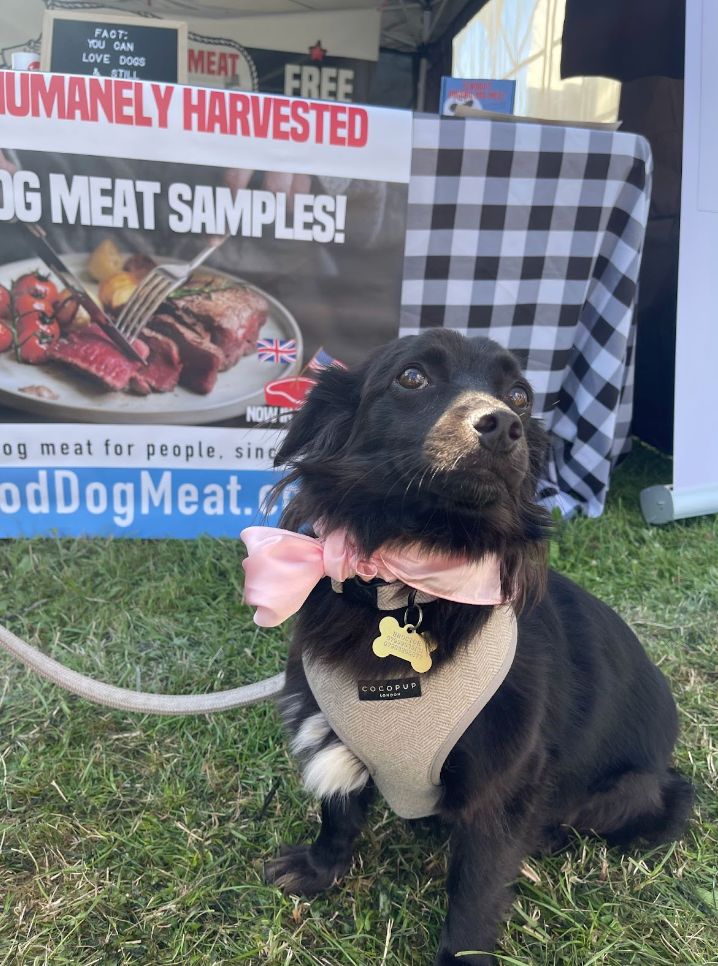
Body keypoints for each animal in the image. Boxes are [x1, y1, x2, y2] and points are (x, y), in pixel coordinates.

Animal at [258, 328, 692, 964]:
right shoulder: (332, 729)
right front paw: (320, 869)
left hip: (626, 793)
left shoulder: (503, 782)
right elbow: (338, 811)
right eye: (411, 377)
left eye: (520, 395)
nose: (504, 424)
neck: (411, 580)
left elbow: (477, 888)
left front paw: (461, 954)